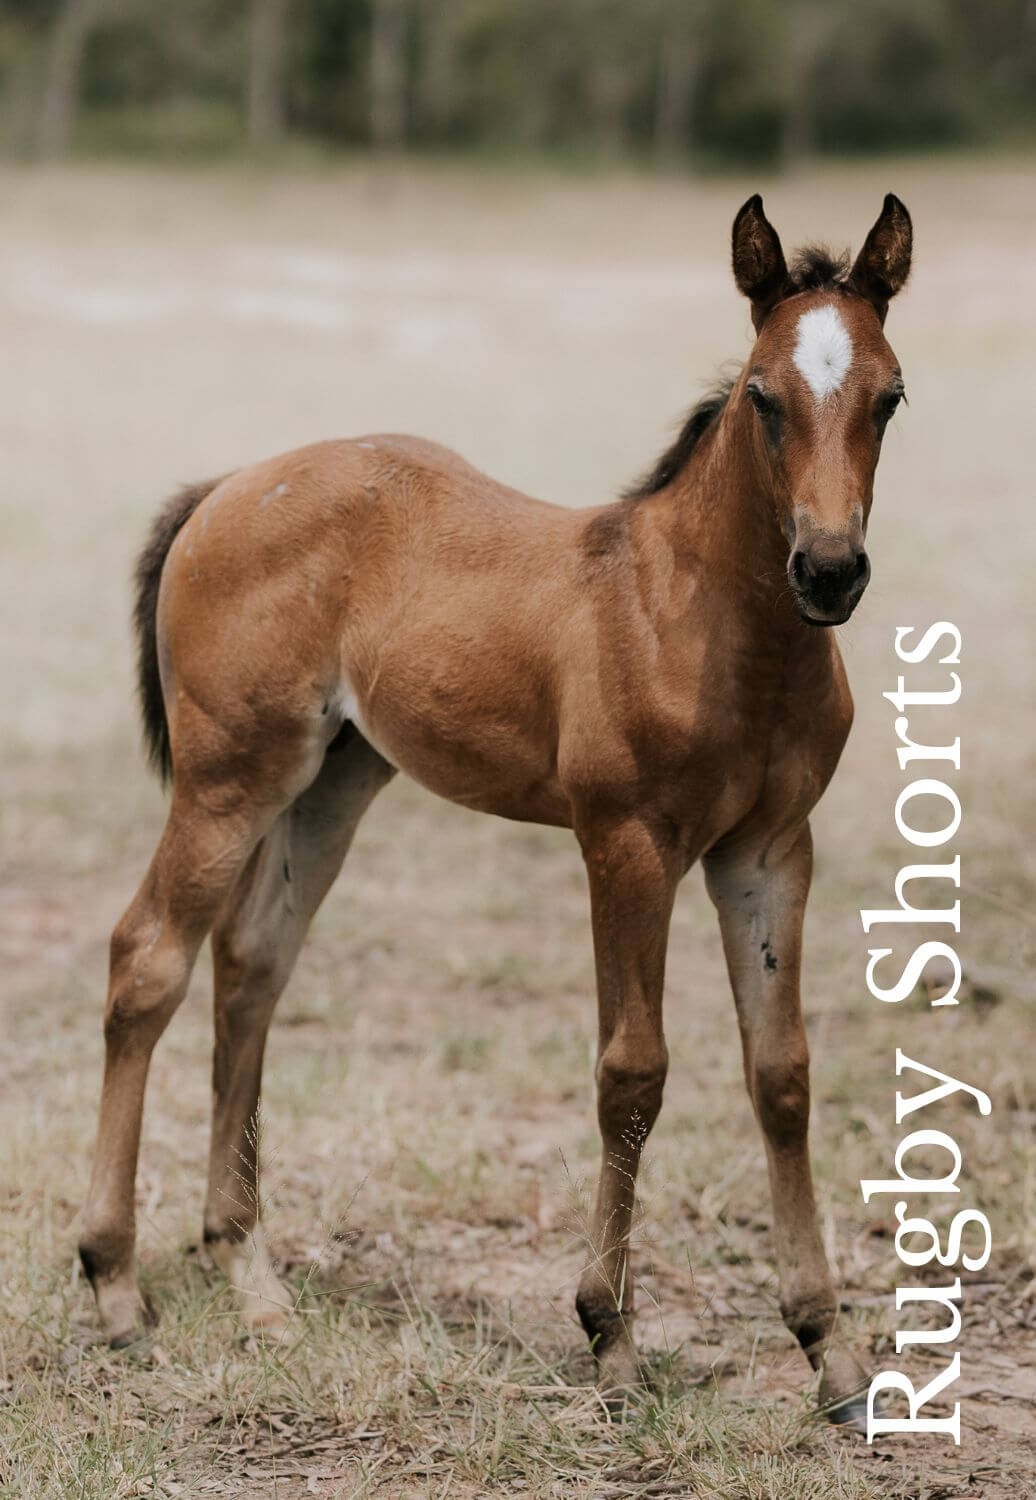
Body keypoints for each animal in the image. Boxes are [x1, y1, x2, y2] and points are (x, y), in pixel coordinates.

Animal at [79, 193, 905, 1422]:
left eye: (890, 396)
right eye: (763, 395)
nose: (831, 570)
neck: (705, 622)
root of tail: (225, 487)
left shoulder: (770, 851)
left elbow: (783, 1076)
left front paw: (830, 1353)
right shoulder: (626, 844)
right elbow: (633, 1072)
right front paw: (609, 1335)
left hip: (333, 779)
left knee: (252, 965)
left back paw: (251, 1277)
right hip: (229, 773)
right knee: (149, 960)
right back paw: (117, 1287)